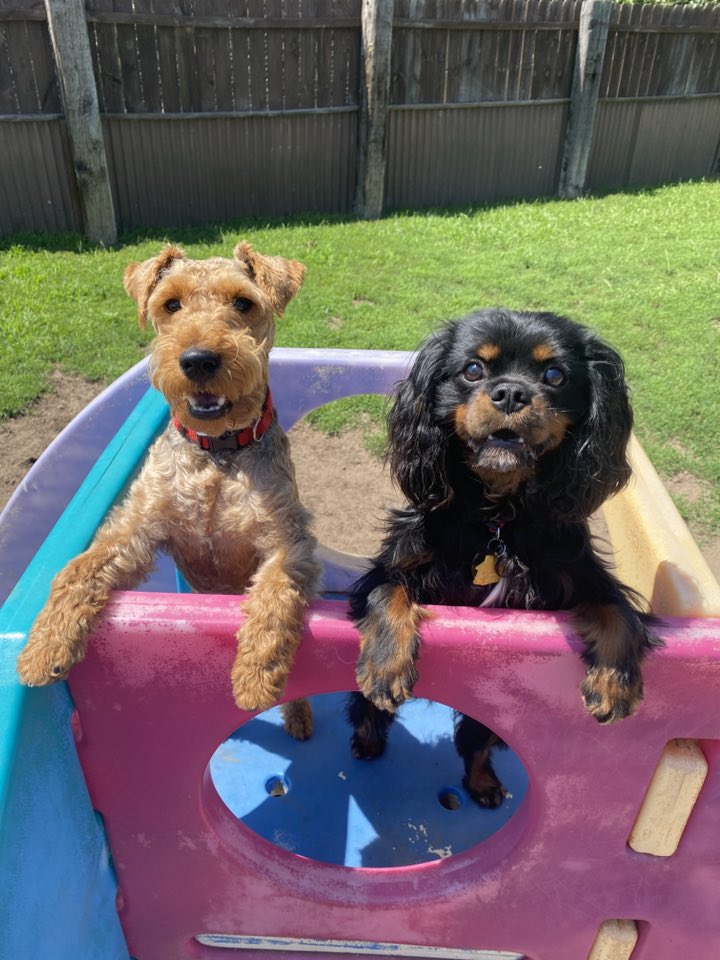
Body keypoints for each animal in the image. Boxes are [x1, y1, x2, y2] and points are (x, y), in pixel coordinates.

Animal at [17, 243, 320, 739]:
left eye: (243, 302)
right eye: (170, 304)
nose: (198, 360)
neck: (217, 454)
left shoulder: (287, 542)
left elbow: (275, 598)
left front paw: (253, 680)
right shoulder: (137, 529)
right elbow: (77, 570)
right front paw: (42, 651)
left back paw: (298, 716)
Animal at [347, 308, 661, 806]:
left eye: (555, 375)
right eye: (473, 369)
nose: (511, 392)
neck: (497, 518)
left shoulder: (578, 574)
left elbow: (618, 611)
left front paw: (614, 683)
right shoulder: (395, 564)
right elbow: (388, 591)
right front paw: (384, 666)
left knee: (475, 739)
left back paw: (483, 784)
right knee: (366, 713)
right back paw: (368, 740)